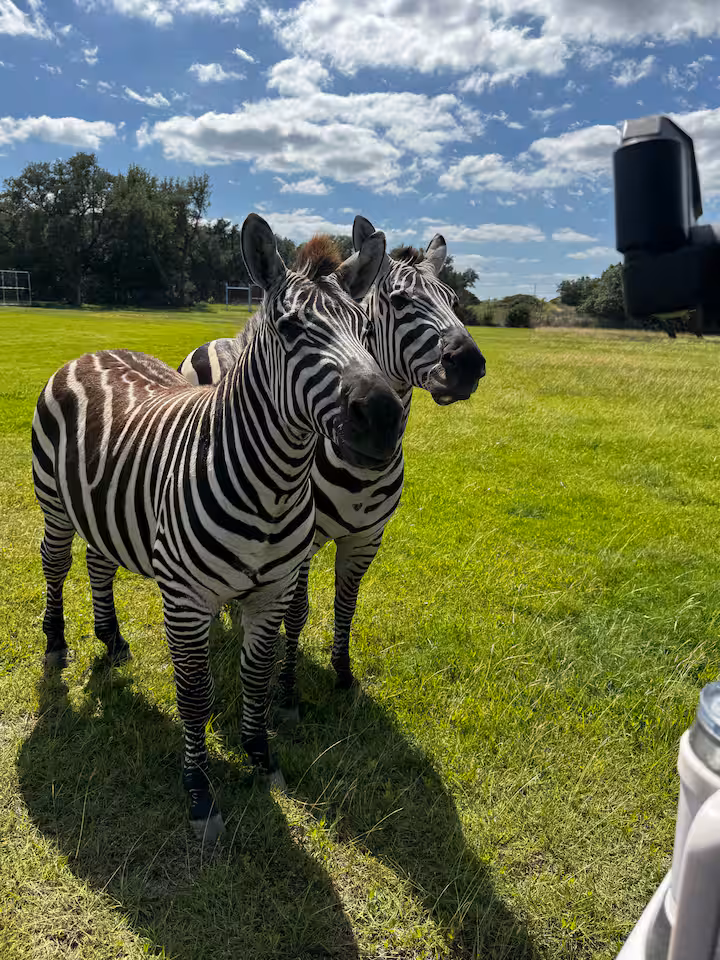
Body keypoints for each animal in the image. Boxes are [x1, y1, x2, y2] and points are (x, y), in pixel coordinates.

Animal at [31, 213, 403, 840]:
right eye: (289, 328)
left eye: (364, 328)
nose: (382, 417)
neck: (275, 486)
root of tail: (95, 350)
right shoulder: (186, 600)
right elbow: (196, 695)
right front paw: (200, 791)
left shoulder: (271, 593)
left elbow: (256, 678)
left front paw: (261, 756)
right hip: (54, 503)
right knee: (56, 563)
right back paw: (57, 644)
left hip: (102, 508)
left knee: (99, 562)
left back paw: (112, 638)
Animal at [179, 216, 485, 713]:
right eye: (399, 301)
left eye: (454, 302)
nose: (470, 364)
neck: (360, 473)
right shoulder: (302, 546)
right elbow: (297, 612)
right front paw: (287, 688)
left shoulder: (366, 538)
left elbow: (348, 603)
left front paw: (342, 673)